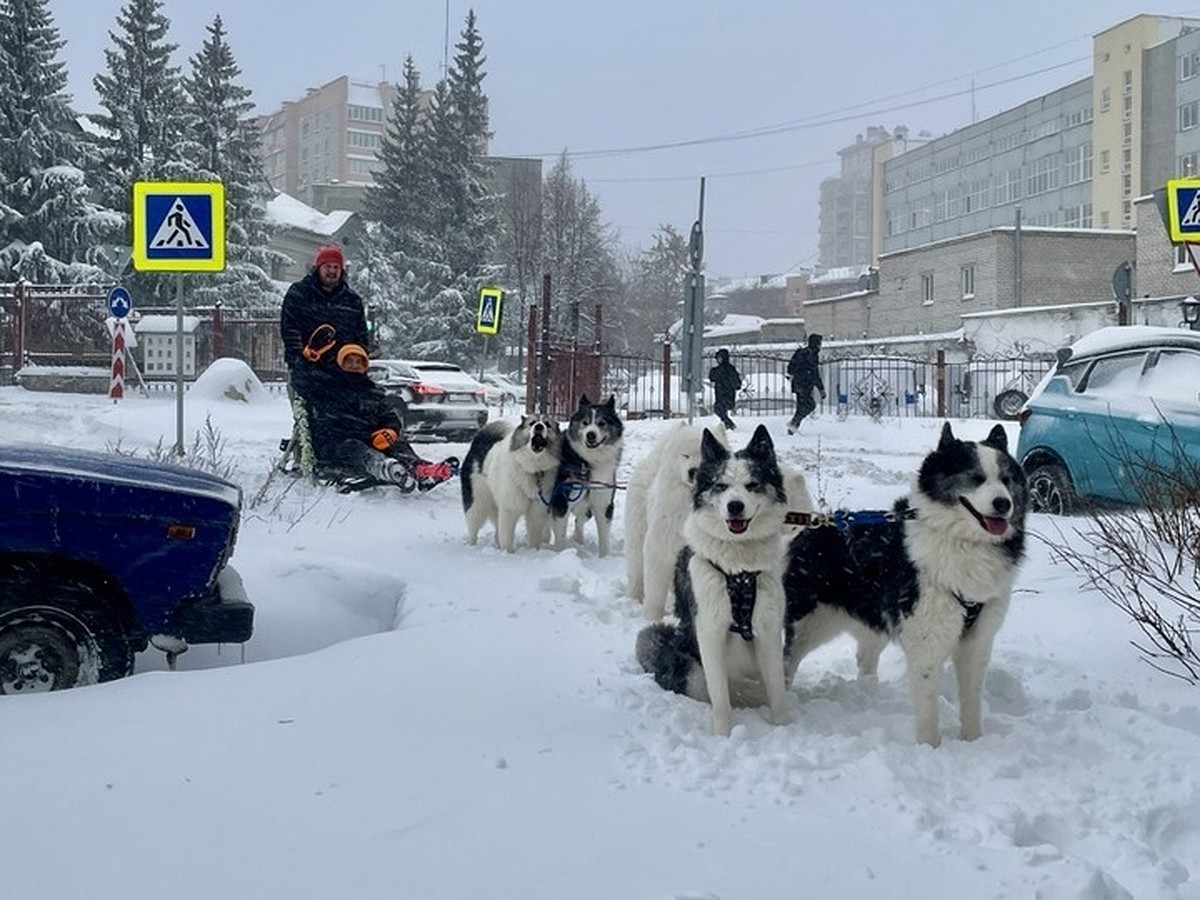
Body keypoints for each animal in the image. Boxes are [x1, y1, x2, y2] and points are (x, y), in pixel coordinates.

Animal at [552, 393, 628, 556]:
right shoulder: (561, 501)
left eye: (602, 423)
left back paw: (579, 542)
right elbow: (560, 536)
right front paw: (559, 554)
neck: (587, 463)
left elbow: (604, 537)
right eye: (585, 423)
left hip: (586, 509)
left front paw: (604, 558)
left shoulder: (604, 502)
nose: (591, 435)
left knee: (579, 521)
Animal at [782, 422, 1027, 748]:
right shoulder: (927, 640)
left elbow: (972, 699)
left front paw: (974, 742)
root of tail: (811, 525)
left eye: (1006, 479)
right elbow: (928, 705)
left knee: (865, 657)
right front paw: (930, 747)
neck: (960, 541)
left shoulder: (978, 640)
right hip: (807, 623)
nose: (1003, 503)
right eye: (975, 477)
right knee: (786, 661)